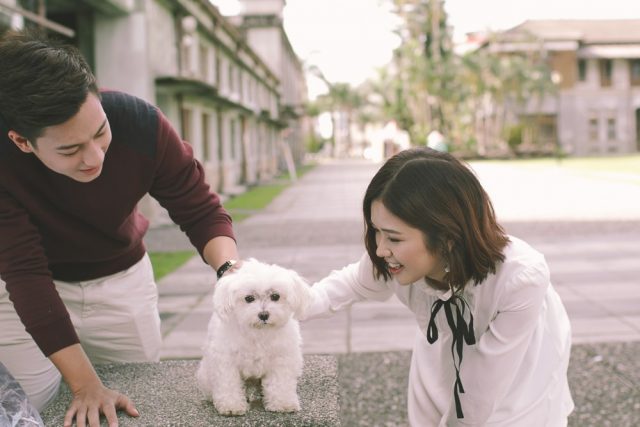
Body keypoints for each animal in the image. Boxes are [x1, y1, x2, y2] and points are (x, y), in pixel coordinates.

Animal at [196, 260, 314, 416]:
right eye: (249, 298)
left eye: (275, 296)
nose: (263, 315)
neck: (258, 331)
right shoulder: (226, 361)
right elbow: (228, 383)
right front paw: (231, 405)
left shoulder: (282, 359)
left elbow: (280, 382)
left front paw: (282, 403)